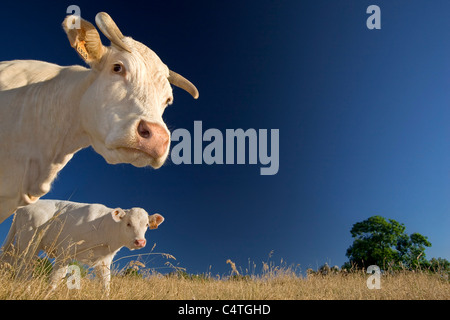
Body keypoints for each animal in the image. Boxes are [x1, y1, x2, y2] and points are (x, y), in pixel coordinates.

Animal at [0, 199, 164, 294]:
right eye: (128, 223)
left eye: (147, 225)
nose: (140, 242)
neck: (105, 227)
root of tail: (22, 208)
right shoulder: (65, 251)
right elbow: (55, 280)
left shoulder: (104, 261)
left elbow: (106, 285)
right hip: (30, 243)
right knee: (24, 270)